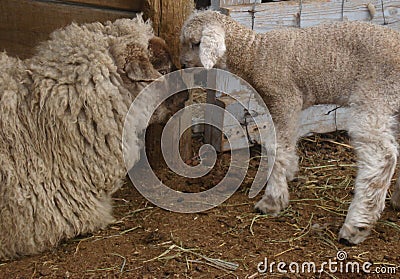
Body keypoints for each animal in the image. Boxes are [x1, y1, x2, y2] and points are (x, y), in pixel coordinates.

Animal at [180, 9, 400, 245]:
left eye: (195, 43)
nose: (182, 65)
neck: (255, 54)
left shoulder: (284, 98)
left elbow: (276, 147)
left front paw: (272, 200)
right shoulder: (287, 105)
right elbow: (287, 141)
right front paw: (290, 171)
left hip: (375, 96)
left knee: (382, 158)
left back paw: (357, 225)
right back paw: (397, 200)